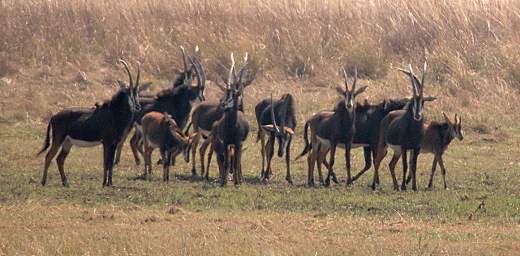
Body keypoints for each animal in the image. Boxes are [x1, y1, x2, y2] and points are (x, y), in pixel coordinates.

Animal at [37, 60, 141, 188]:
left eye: (137, 92)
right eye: (128, 93)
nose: (137, 106)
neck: (114, 113)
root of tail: (53, 116)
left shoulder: (114, 143)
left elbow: (111, 163)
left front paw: (110, 183)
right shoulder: (106, 142)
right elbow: (106, 163)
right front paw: (104, 183)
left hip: (67, 142)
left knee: (59, 159)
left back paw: (66, 182)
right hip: (58, 139)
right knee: (49, 156)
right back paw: (44, 182)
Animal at [211, 52, 252, 186]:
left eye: (235, 94)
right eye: (225, 94)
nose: (223, 104)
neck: (232, 127)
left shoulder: (238, 143)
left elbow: (235, 162)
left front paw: (237, 182)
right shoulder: (226, 143)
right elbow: (227, 162)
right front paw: (223, 182)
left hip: (238, 144)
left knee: (237, 160)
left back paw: (238, 178)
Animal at [372, 61, 428, 190]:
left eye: (422, 101)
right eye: (413, 101)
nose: (417, 115)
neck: (414, 130)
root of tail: (388, 115)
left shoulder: (416, 148)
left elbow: (413, 166)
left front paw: (414, 187)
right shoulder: (404, 148)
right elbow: (405, 166)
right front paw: (404, 187)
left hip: (396, 151)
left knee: (391, 164)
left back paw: (396, 186)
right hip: (384, 145)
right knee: (377, 161)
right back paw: (374, 185)